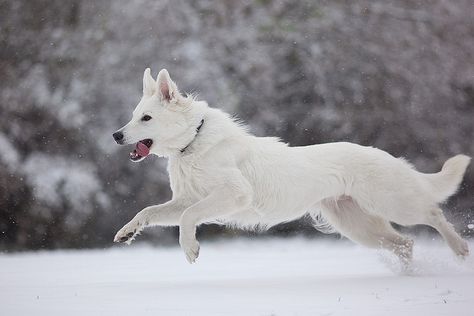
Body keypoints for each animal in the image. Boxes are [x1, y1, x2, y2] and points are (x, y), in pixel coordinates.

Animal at [112, 68, 470, 264]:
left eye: (146, 118)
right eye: (134, 116)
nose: (116, 136)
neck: (193, 142)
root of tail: (386, 155)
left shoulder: (232, 195)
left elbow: (188, 218)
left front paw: (190, 249)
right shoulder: (187, 199)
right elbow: (149, 211)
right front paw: (127, 231)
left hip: (393, 204)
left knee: (433, 214)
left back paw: (460, 248)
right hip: (358, 226)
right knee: (405, 243)